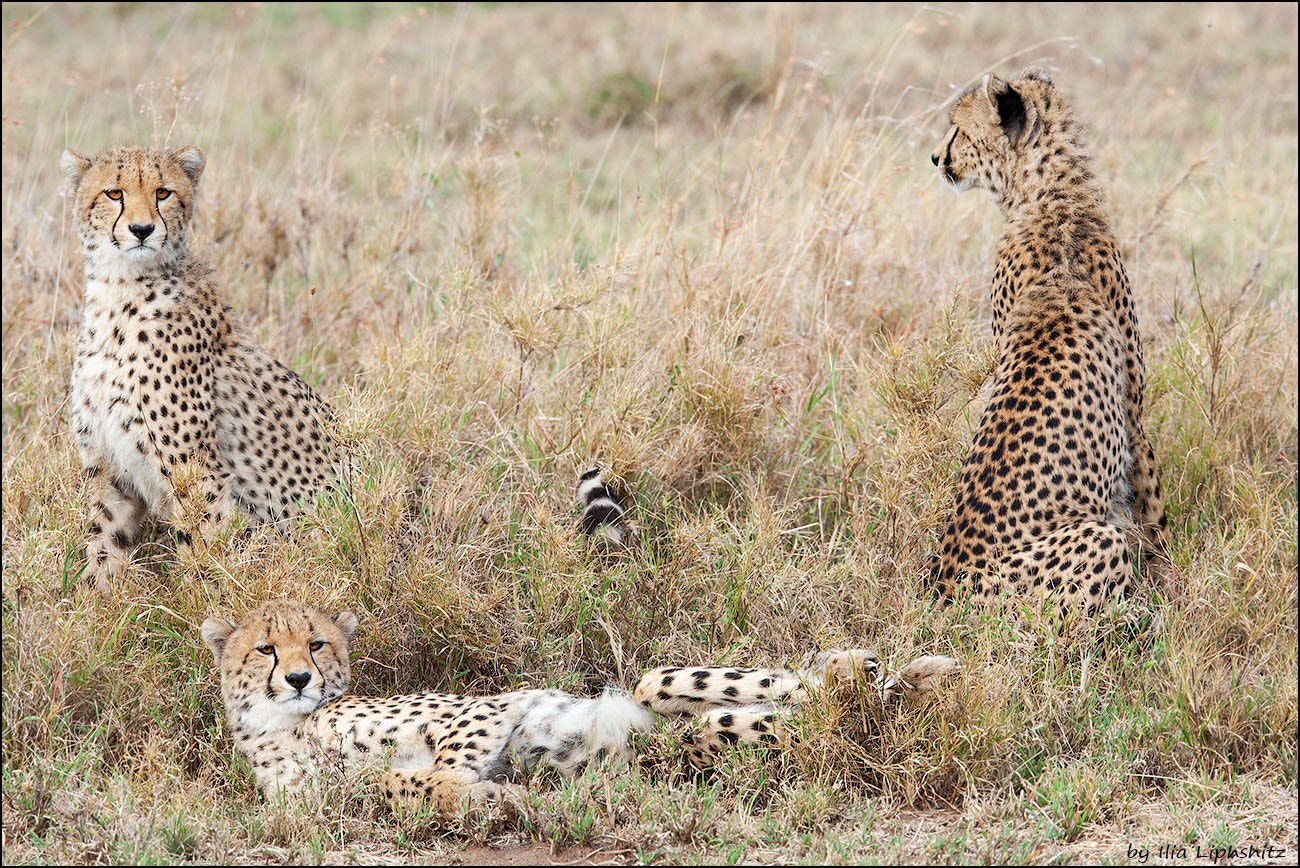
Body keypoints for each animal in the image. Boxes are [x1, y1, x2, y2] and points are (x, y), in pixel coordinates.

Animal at [62, 147, 338, 597]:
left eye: (163, 192)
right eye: (114, 193)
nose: (142, 229)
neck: (119, 289)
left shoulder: (194, 470)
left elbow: (202, 546)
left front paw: (200, 605)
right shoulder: (108, 466)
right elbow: (104, 541)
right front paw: (94, 602)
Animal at [200, 597, 956, 816]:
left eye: (315, 643)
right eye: (266, 649)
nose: (300, 678)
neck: (289, 723)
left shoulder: (477, 712)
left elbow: (434, 759)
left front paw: (474, 788)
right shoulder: (314, 798)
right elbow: (386, 783)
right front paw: (483, 797)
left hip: (658, 689)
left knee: (827, 700)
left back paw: (886, 671)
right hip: (686, 747)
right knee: (827, 729)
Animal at [930, 67, 1175, 613]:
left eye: (957, 129)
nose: (934, 157)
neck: (1052, 197)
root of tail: (943, 584)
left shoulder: (1131, 413)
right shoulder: (1132, 410)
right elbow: (1152, 510)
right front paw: (1169, 580)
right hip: (1099, 539)